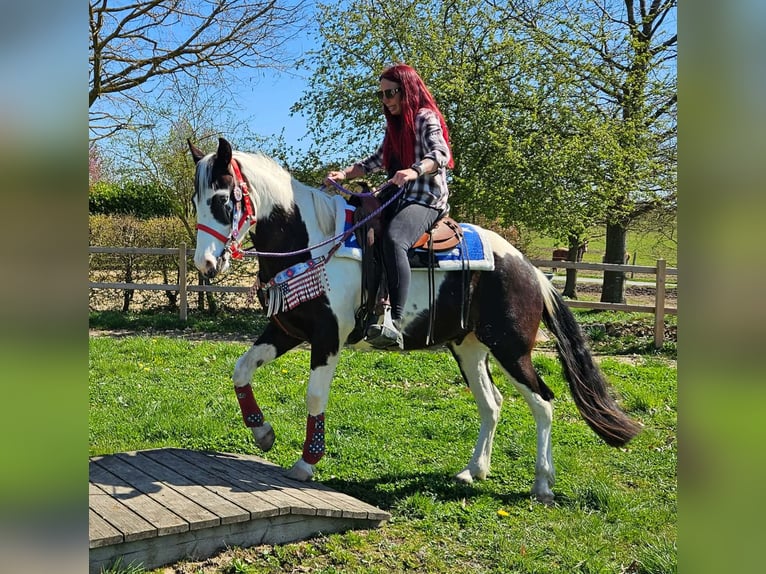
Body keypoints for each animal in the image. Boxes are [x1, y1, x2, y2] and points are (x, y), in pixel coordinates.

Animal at [188, 137, 640, 503]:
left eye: (223, 201)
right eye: (196, 202)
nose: (205, 265)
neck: (313, 243)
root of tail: (529, 269)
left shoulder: (327, 338)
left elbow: (315, 397)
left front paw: (306, 463)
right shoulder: (287, 329)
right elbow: (241, 369)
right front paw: (262, 433)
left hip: (511, 349)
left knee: (544, 402)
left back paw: (542, 484)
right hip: (469, 349)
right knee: (491, 403)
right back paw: (473, 471)